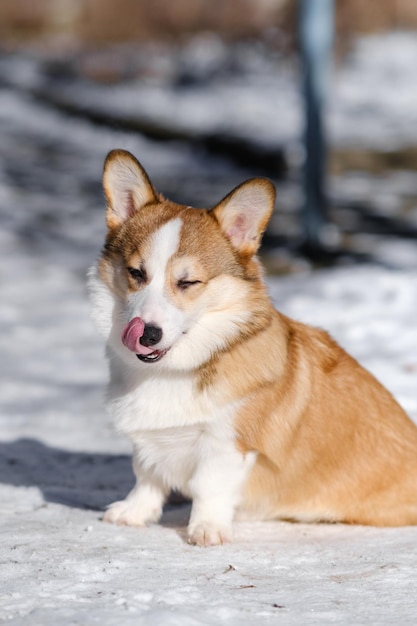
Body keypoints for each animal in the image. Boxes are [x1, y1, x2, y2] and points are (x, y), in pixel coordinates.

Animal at [88, 149, 417, 544]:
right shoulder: (149, 441)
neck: (176, 368)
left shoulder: (227, 444)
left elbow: (209, 487)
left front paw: (207, 530)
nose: (147, 334)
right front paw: (134, 513)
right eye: (136, 273)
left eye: (188, 282)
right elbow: (146, 474)